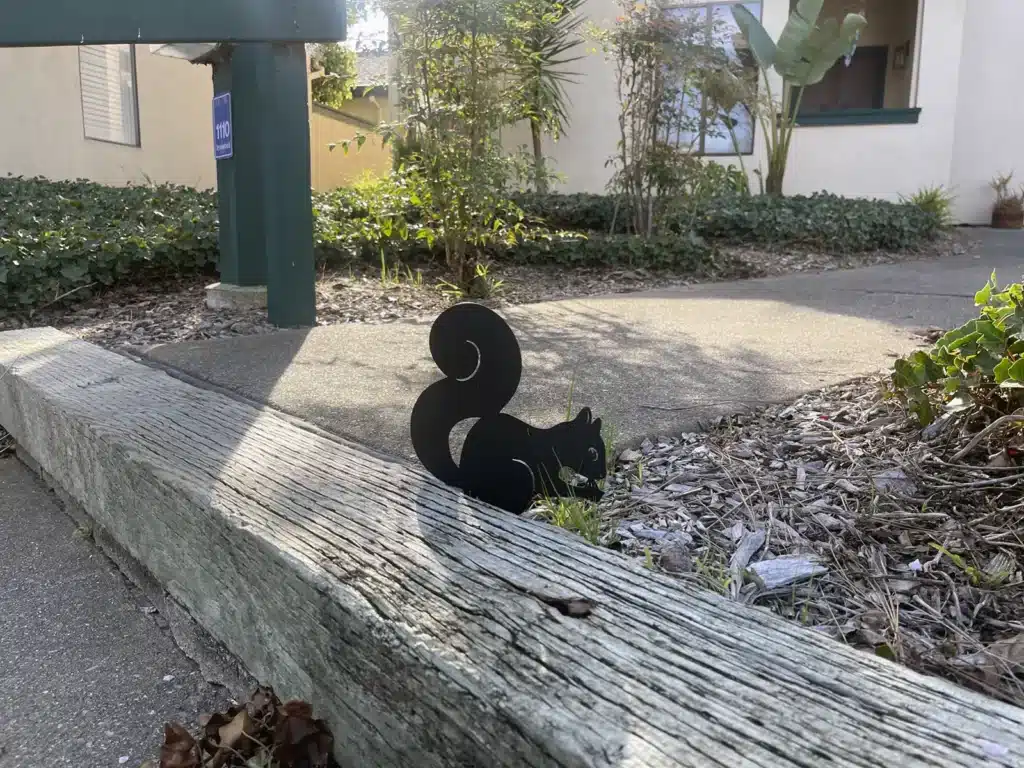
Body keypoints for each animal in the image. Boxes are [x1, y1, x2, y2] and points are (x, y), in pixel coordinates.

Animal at [410, 302, 607, 514]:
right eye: (592, 453)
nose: (603, 475)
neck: (556, 444)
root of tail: (465, 482)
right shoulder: (544, 469)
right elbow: (555, 487)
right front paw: (593, 493)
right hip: (518, 473)